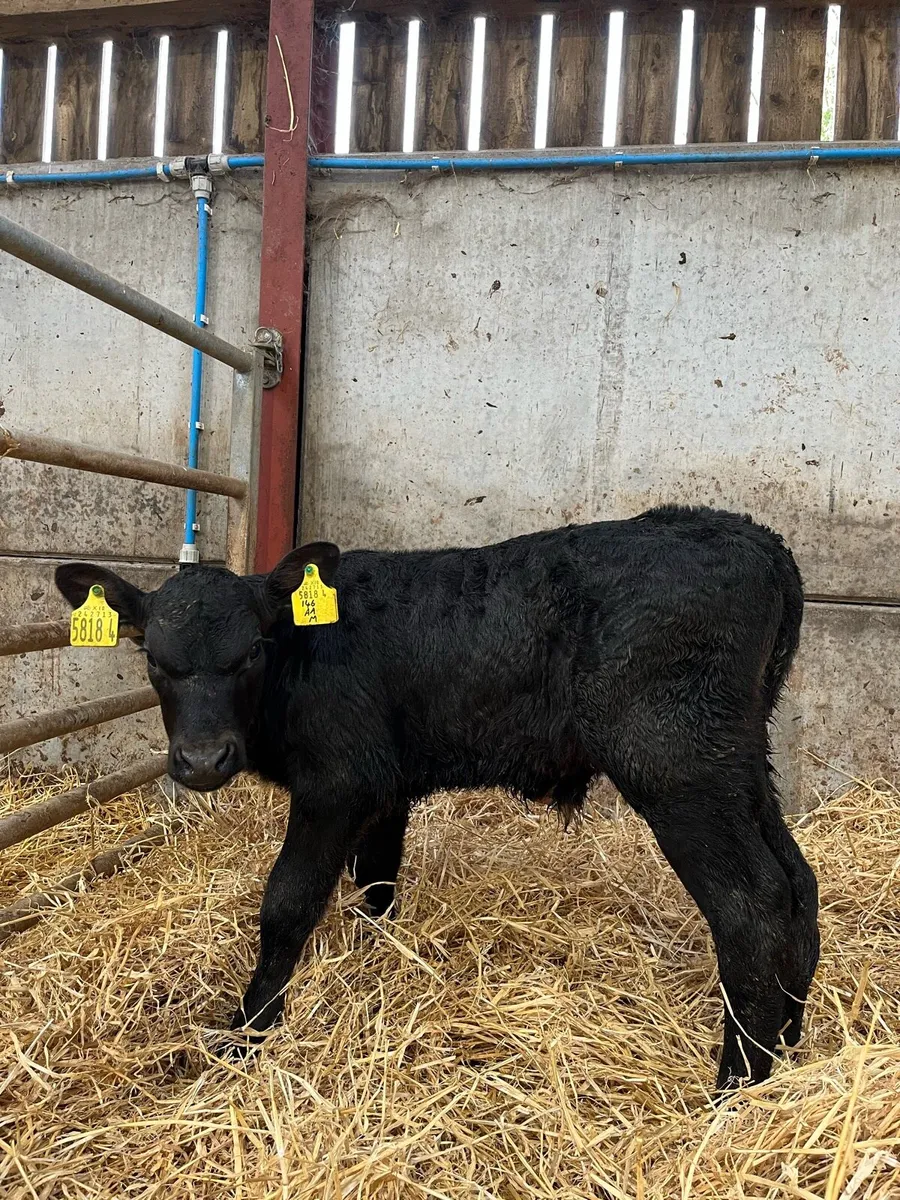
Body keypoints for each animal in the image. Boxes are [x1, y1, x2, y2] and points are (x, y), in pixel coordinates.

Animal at [56, 505, 819, 1091]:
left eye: (250, 652)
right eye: (154, 659)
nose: (202, 760)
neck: (303, 655)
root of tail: (752, 537)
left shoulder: (337, 783)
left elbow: (287, 903)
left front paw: (248, 1033)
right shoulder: (385, 789)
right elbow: (376, 884)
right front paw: (373, 966)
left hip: (674, 765)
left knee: (752, 904)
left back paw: (735, 1086)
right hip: (738, 759)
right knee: (797, 880)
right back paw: (788, 1042)